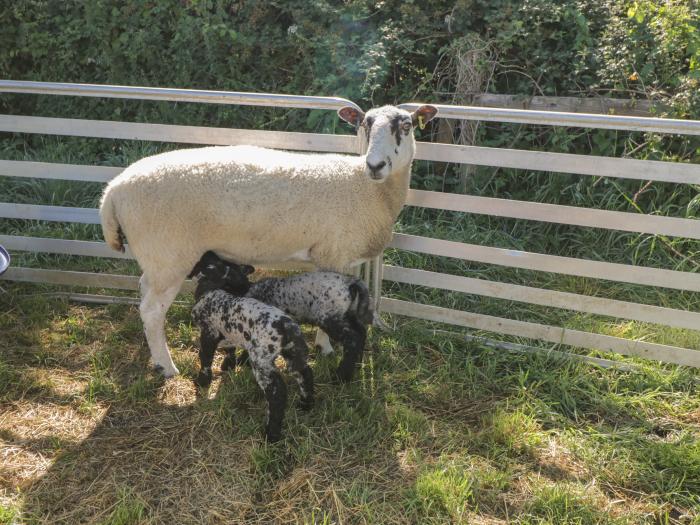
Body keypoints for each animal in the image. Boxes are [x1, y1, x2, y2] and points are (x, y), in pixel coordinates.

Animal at [189, 252, 314, 440]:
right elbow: (229, 349)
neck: (212, 290)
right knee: (304, 373)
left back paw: (271, 434)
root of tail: (287, 327)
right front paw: (228, 365)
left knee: (277, 393)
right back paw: (306, 404)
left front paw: (202, 382)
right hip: (292, 353)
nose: (208, 252)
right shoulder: (229, 334)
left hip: (261, 360)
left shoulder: (208, 333)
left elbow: (205, 358)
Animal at [198, 251, 372, 380]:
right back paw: (358, 364)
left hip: (329, 316)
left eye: (219, 268)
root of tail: (351, 283)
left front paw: (239, 362)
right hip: (346, 312)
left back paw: (342, 376)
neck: (246, 290)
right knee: (361, 332)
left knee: (352, 338)